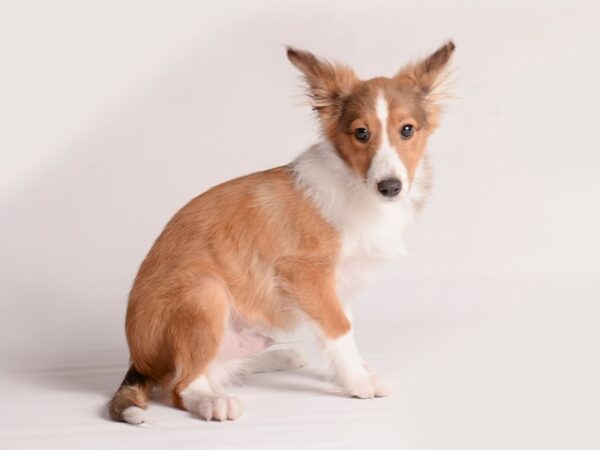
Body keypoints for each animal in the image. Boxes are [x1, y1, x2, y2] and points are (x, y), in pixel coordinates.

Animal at [109, 40, 454, 424]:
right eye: (361, 133)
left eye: (407, 130)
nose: (390, 187)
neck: (355, 186)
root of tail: (138, 362)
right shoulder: (306, 274)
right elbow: (339, 328)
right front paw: (358, 381)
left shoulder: (336, 286)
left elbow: (342, 329)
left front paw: (357, 370)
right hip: (204, 293)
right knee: (182, 385)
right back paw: (214, 401)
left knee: (218, 366)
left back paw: (277, 357)